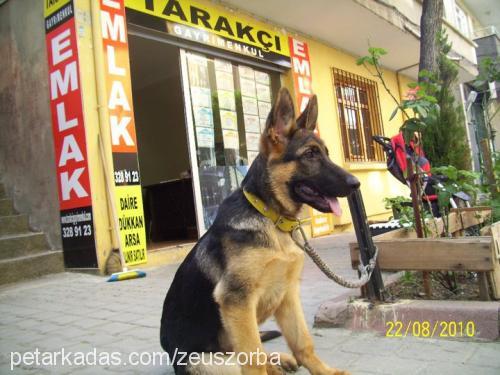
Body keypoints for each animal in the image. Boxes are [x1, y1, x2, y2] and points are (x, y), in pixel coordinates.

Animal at [162, 89, 358, 375]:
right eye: (310, 154)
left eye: (326, 153)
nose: (356, 184)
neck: (272, 218)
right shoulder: (237, 302)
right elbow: (253, 359)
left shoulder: (287, 294)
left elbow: (303, 342)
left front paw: (325, 371)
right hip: (204, 361)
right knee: (244, 360)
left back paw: (281, 361)